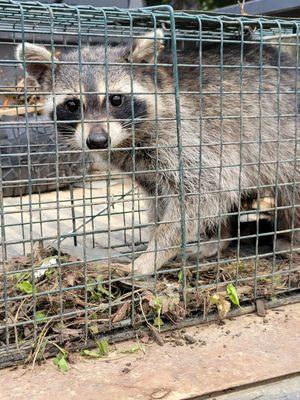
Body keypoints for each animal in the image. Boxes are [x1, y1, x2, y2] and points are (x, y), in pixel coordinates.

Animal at [15, 30, 300, 276]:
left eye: (116, 99)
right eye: (72, 104)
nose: (97, 141)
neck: (127, 140)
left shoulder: (185, 135)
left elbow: (202, 191)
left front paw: (153, 255)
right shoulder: (144, 168)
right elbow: (161, 201)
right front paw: (155, 240)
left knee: (287, 193)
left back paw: (289, 239)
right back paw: (220, 239)